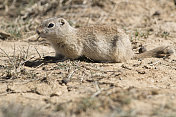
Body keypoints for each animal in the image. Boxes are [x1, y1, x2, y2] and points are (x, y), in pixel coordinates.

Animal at [36, 17, 175, 62]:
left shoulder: (72, 47)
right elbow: (56, 56)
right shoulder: (58, 51)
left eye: (50, 25)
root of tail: (130, 53)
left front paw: (56, 60)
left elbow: (70, 56)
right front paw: (48, 57)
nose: (37, 31)